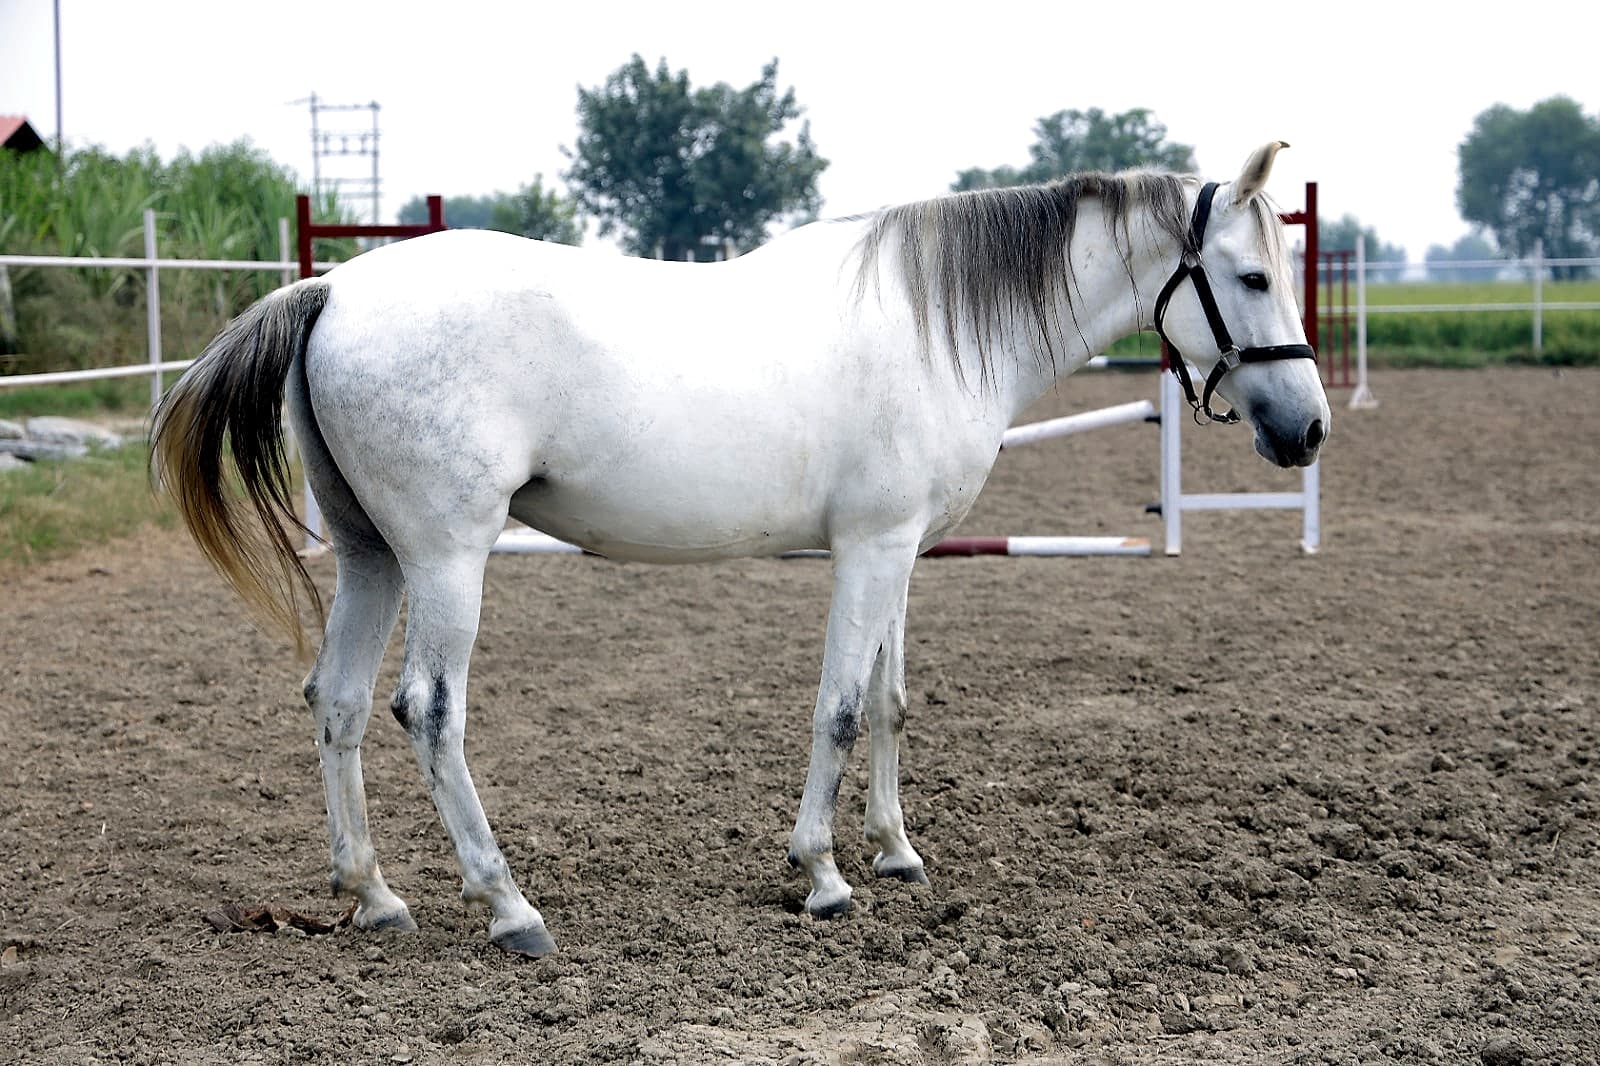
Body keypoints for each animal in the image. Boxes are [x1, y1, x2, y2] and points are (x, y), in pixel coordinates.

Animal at [151, 141, 1329, 957]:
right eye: (1252, 278)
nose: (1308, 429)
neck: (934, 325)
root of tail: (333, 288)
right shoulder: (868, 550)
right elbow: (839, 708)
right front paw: (823, 874)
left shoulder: (903, 552)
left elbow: (890, 700)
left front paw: (896, 851)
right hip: (446, 558)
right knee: (427, 710)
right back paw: (508, 906)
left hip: (373, 556)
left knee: (339, 702)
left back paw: (374, 894)